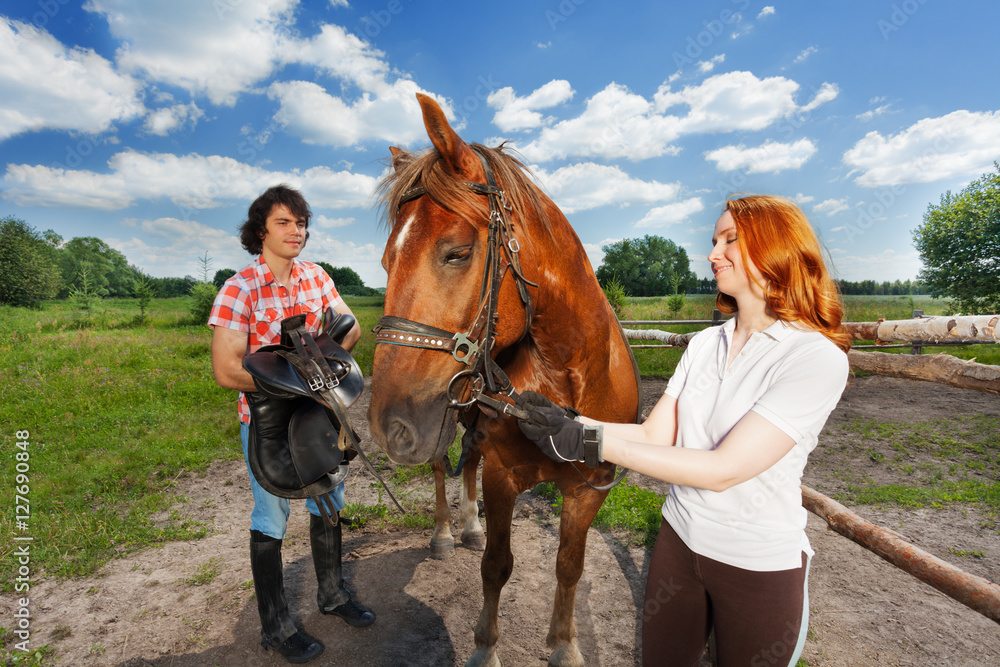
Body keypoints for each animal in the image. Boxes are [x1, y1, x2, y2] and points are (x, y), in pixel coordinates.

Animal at [368, 94, 640, 667]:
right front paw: (484, 648)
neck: (568, 376)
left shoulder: (588, 492)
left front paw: (564, 646)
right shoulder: (502, 476)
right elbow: (497, 565)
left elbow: (569, 566)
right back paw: (446, 533)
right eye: (386, 260)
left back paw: (468, 527)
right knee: (443, 467)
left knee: (466, 460)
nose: (389, 425)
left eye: (456, 252)